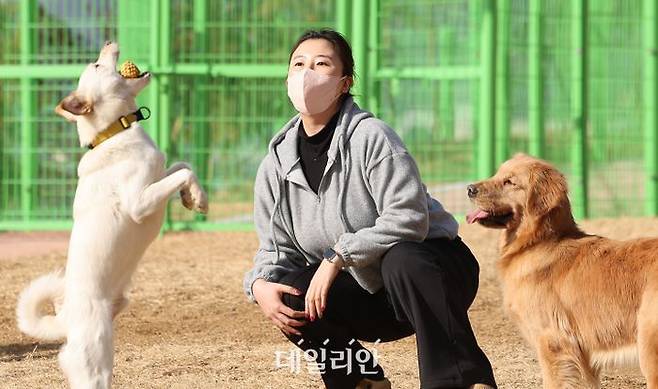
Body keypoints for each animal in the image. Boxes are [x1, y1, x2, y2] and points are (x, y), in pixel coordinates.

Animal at [16, 41, 208, 386]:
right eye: (96, 65)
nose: (108, 42)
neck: (113, 133)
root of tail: (66, 322)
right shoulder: (139, 203)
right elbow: (182, 172)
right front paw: (198, 199)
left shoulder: (158, 176)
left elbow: (183, 165)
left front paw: (193, 197)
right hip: (96, 360)